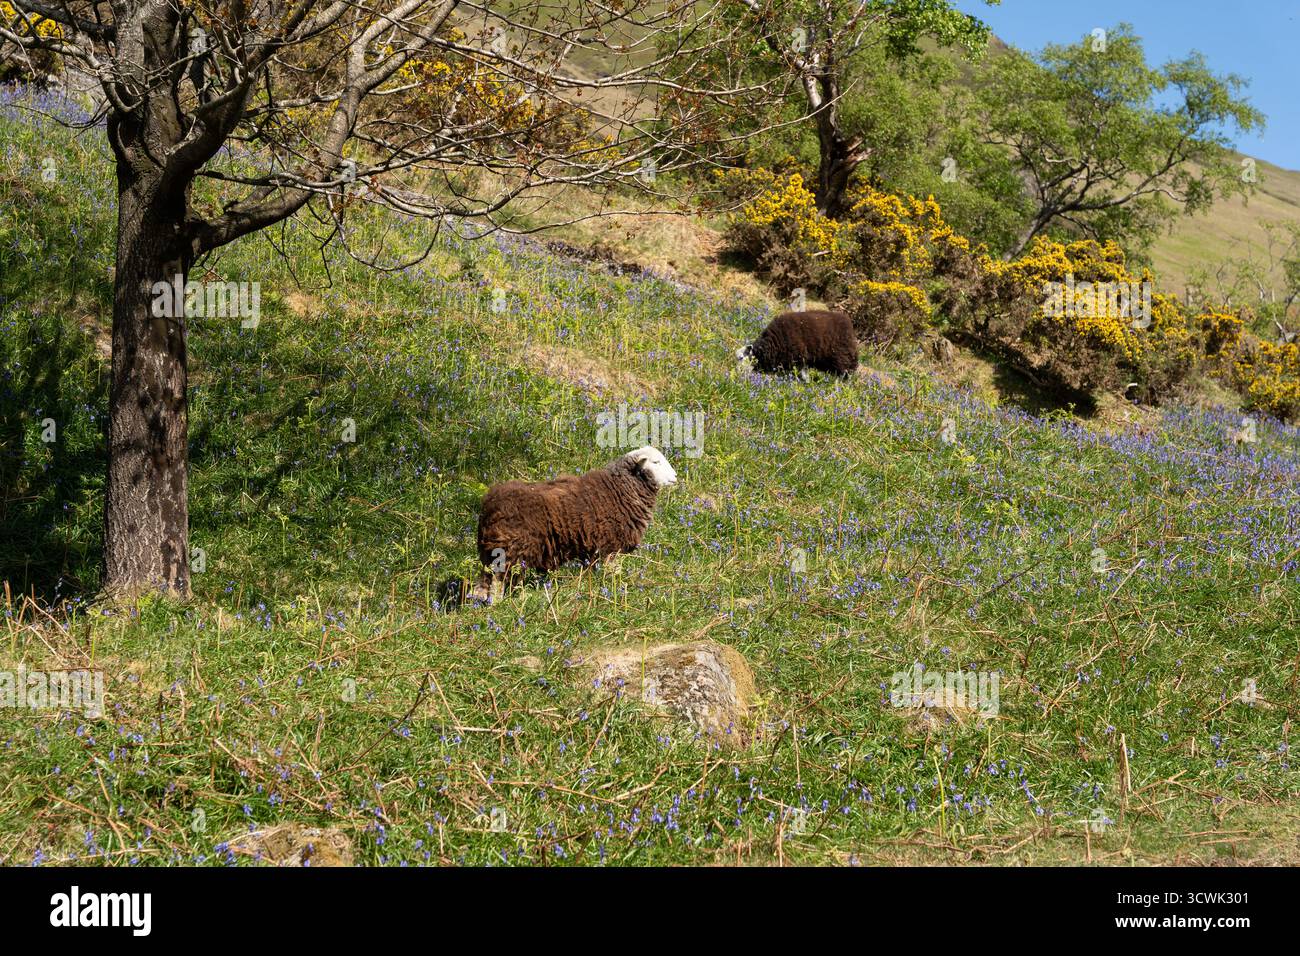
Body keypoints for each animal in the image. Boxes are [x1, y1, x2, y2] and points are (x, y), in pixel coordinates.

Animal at [472, 446, 678, 601]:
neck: (620, 489)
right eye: (656, 462)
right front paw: (616, 586)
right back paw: (500, 604)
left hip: (495, 551)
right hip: (510, 548)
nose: (675, 476)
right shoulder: (610, 546)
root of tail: (489, 504)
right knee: (499, 581)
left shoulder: (594, 549)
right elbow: (613, 572)